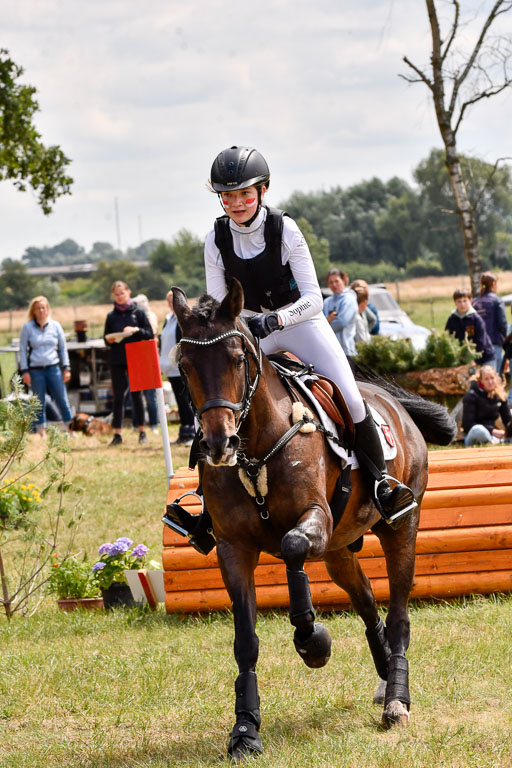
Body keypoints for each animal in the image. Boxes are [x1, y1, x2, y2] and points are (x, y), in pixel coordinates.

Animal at [172, 280, 456, 760]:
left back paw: (396, 699)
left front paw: (313, 642)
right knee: (366, 600)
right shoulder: (233, 548)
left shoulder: (314, 518)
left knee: (398, 611)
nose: (218, 444)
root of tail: (393, 404)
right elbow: (245, 641)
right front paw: (245, 729)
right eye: (184, 365)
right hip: (340, 548)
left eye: (237, 359)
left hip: (400, 528)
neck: (255, 449)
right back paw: (384, 676)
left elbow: (291, 547)